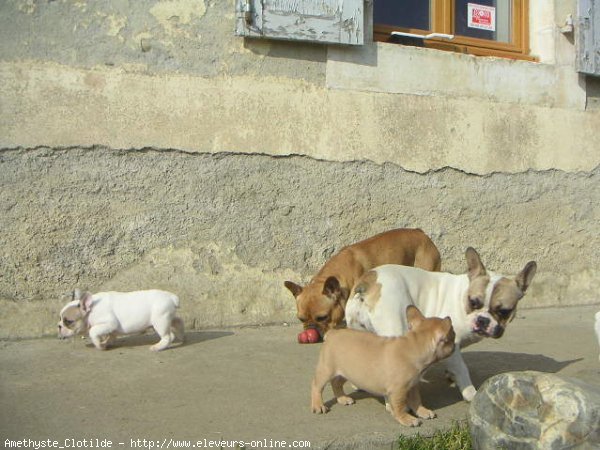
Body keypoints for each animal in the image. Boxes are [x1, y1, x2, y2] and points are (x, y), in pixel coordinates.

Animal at [310, 304, 454, 428]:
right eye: (453, 336)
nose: (455, 345)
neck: (414, 344)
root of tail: (332, 334)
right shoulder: (398, 391)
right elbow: (399, 406)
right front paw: (406, 419)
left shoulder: (412, 386)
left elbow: (416, 400)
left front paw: (422, 411)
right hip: (326, 370)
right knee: (317, 386)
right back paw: (318, 405)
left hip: (346, 372)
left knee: (336, 383)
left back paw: (342, 398)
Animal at [344, 248, 536, 402]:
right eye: (473, 302)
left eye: (504, 311)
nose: (483, 320)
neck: (462, 296)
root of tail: (367, 282)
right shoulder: (453, 345)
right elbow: (461, 369)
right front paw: (470, 393)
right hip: (395, 326)